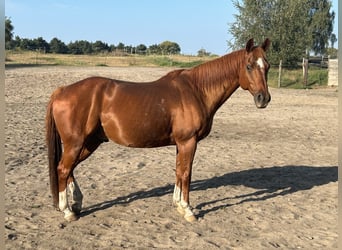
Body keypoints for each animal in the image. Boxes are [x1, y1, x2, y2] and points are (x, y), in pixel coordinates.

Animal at [46, 38, 270, 222]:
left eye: (267, 66)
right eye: (249, 65)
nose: (264, 98)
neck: (196, 90)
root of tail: (62, 90)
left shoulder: (181, 144)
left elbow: (179, 171)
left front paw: (177, 204)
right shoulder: (188, 142)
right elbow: (186, 173)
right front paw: (187, 209)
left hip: (89, 142)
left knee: (69, 169)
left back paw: (76, 203)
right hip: (76, 143)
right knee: (63, 169)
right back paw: (67, 211)